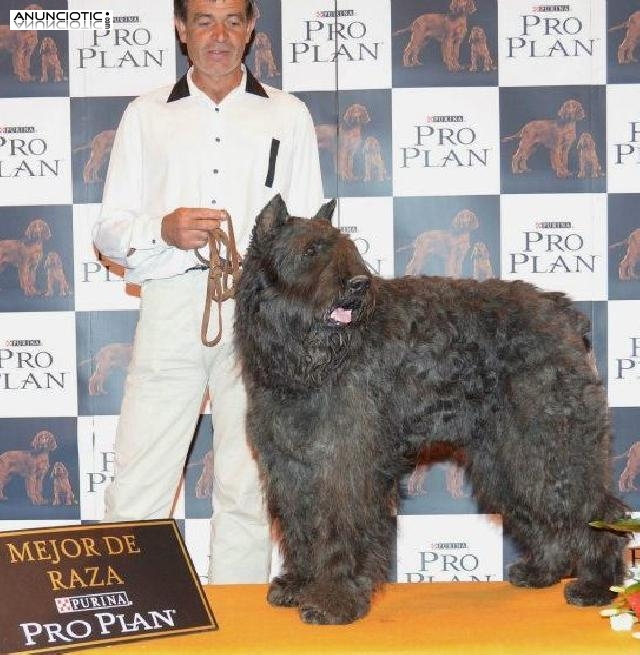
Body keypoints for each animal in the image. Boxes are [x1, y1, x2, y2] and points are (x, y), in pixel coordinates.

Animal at [234, 193, 624, 624]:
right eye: (310, 251)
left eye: (349, 251)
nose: (358, 284)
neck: (300, 364)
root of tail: (562, 311)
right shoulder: (290, 465)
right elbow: (301, 526)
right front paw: (300, 583)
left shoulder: (345, 462)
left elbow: (341, 528)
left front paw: (334, 600)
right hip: (506, 457)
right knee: (540, 509)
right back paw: (543, 570)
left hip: (551, 442)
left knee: (594, 509)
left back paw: (598, 585)